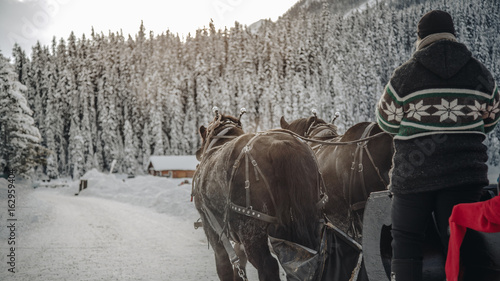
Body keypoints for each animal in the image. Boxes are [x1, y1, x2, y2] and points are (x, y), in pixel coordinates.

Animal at [193, 110, 322, 280]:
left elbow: (224, 266)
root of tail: (281, 146)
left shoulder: (212, 227)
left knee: (268, 265)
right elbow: (240, 265)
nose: (197, 153)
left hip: (251, 228)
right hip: (308, 220)